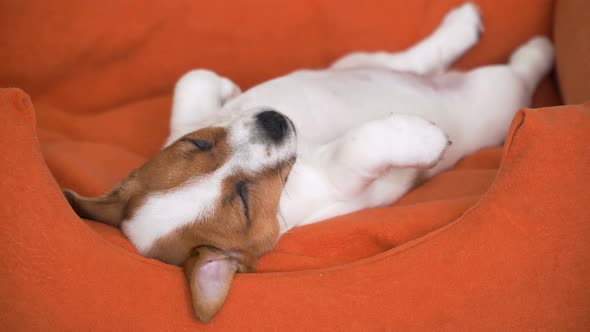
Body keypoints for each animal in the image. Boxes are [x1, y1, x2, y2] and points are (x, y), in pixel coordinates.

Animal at [63, 2, 556, 322]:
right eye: (243, 201)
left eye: (198, 144)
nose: (274, 120)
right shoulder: (340, 178)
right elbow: (361, 143)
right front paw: (420, 137)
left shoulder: (192, 114)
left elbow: (193, 78)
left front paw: (227, 87)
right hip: (495, 99)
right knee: (515, 74)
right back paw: (537, 53)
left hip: (359, 61)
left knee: (413, 58)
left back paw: (461, 27)